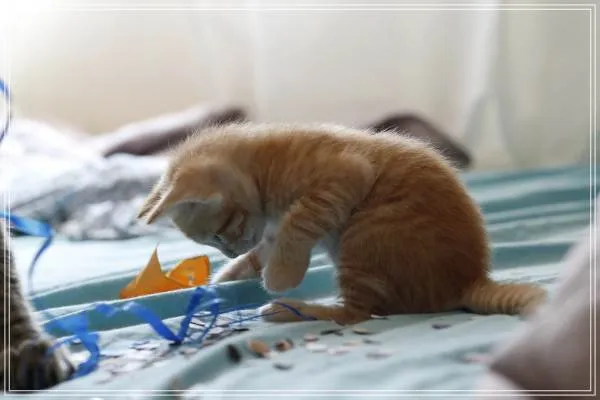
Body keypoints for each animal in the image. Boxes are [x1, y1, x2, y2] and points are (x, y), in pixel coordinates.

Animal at [137, 122, 547, 325]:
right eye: (213, 243)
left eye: (220, 234)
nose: (226, 251)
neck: (264, 165)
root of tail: (469, 280)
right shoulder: (270, 227)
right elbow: (264, 248)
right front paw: (226, 275)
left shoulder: (346, 173)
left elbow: (299, 223)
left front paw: (280, 275)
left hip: (364, 237)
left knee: (357, 313)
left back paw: (293, 309)